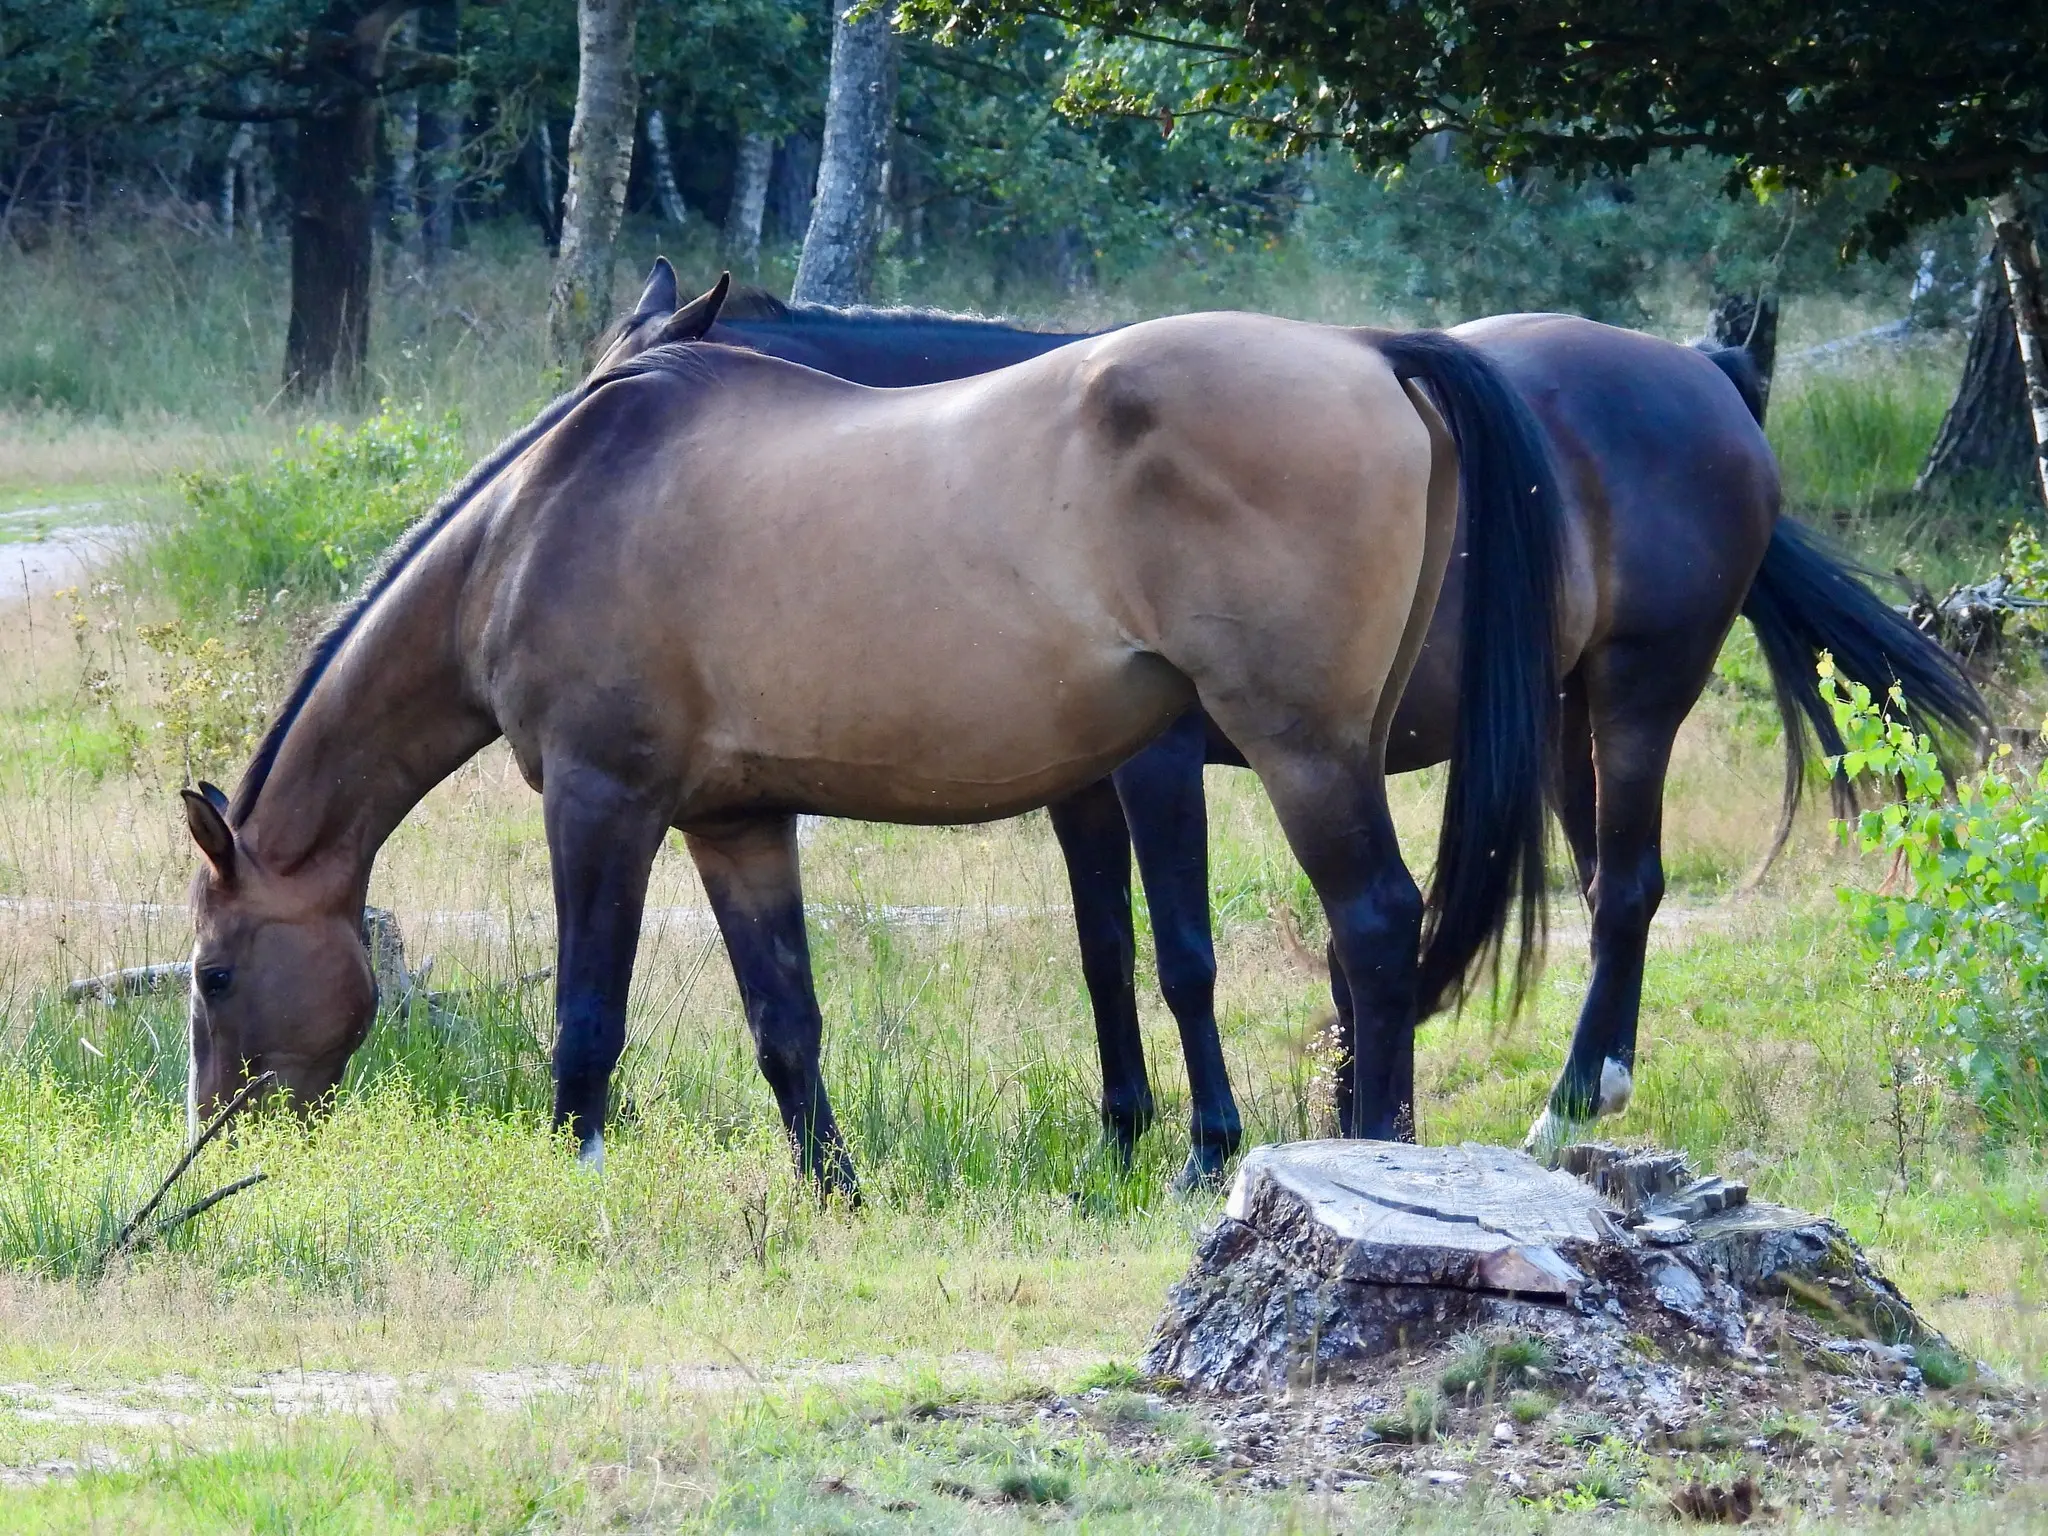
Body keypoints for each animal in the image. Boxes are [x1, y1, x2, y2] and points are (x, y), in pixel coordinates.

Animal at [192, 274, 1564, 1204]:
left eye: (211, 975)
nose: (213, 1136)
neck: (535, 526)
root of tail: (1368, 354)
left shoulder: (600, 802)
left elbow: (587, 1020)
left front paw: (567, 1179)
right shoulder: (735, 823)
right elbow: (785, 1025)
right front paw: (832, 1192)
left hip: (1303, 749)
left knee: (1374, 922)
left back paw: (1378, 1152)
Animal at [684, 264, 1982, 1187]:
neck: (1026, 477)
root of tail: (1708, 377)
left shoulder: (1159, 768)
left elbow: (1181, 952)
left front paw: (1203, 1146)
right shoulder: (1078, 785)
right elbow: (1104, 951)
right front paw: (1121, 1137)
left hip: (1633, 696)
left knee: (1622, 889)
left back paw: (1565, 1101)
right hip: (1558, 721)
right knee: (1604, 882)